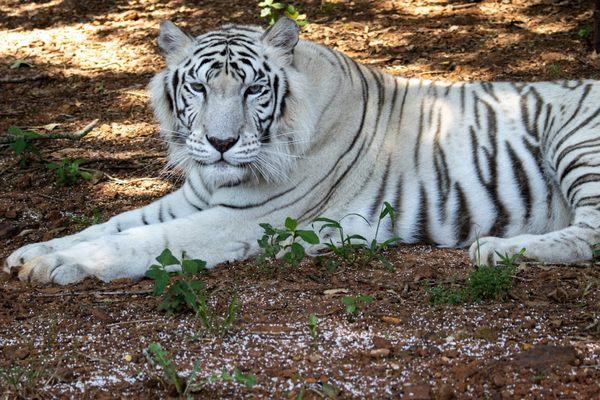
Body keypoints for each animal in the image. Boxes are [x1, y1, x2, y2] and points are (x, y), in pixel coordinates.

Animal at [5, 18, 600, 284]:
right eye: (198, 87)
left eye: (252, 89)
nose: (221, 144)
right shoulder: (192, 198)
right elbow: (111, 223)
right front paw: (30, 251)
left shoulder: (246, 219)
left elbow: (144, 241)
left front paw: (56, 265)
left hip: (577, 143)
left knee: (589, 236)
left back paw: (497, 250)